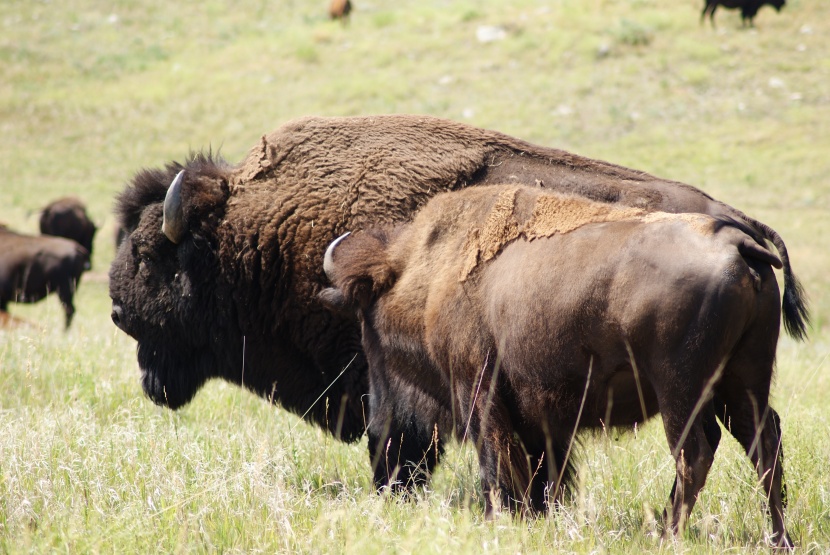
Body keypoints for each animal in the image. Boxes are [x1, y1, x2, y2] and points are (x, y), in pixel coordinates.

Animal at [107, 113, 808, 496]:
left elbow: (401, 451)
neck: (261, 234)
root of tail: (744, 230)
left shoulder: (394, 392)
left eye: (148, 253)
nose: (116, 311)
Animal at [322, 186, 796, 548]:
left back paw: (665, 536)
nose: (375, 428)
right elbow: (543, 471)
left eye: (366, 317)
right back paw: (779, 540)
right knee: (763, 443)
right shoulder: (541, 415)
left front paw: (498, 519)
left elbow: (494, 460)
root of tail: (737, 244)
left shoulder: (477, 388)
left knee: (696, 451)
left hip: (681, 390)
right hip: (742, 383)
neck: (428, 275)